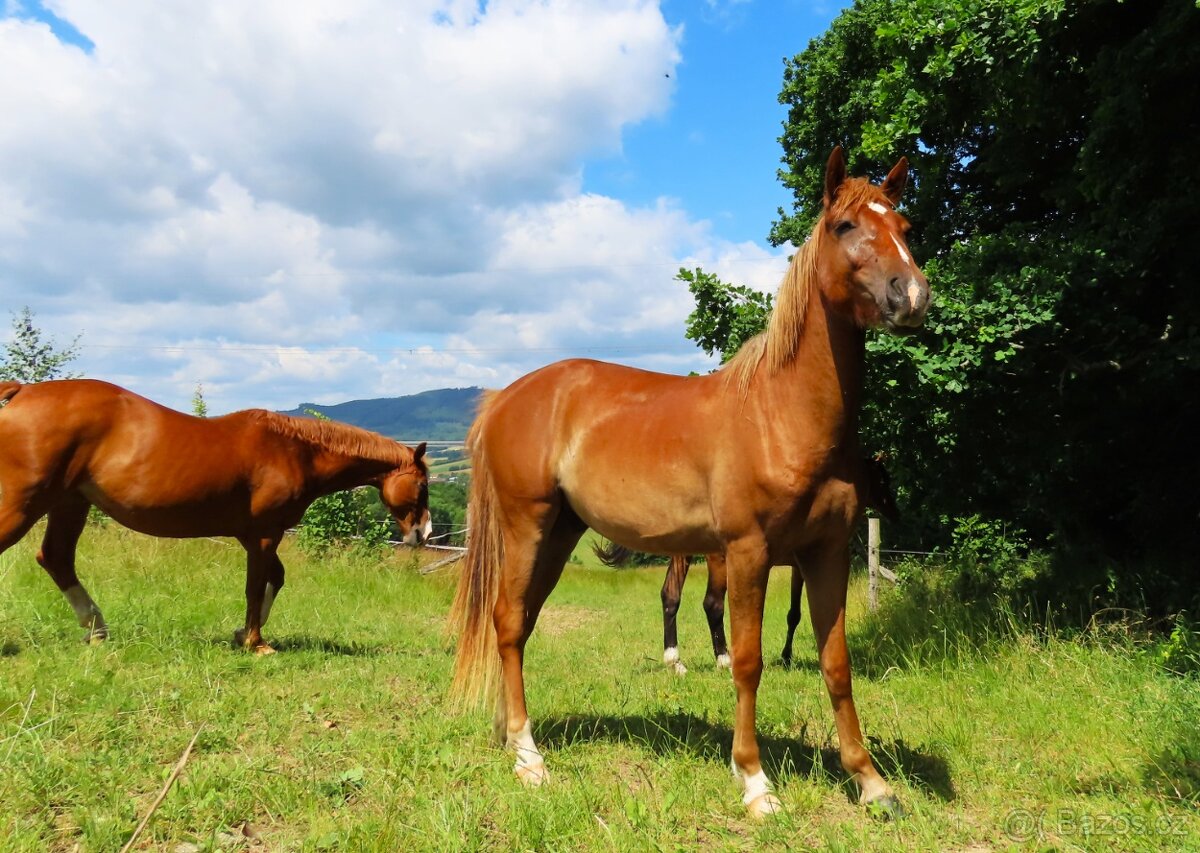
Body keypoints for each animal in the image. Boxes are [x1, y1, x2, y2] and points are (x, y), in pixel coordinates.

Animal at [0, 378, 431, 654]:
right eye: (423, 484)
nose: (423, 533)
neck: (293, 450)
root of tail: (23, 392)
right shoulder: (264, 534)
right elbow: (256, 586)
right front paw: (256, 643)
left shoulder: (254, 535)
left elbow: (274, 579)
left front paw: (243, 633)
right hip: (26, 503)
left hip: (70, 502)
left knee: (56, 558)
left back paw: (97, 630)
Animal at [595, 454, 899, 675]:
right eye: (883, 479)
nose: (895, 512)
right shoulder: (800, 568)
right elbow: (794, 614)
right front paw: (786, 657)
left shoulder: (795, 568)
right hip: (717, 562)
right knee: (712, 604)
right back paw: (723, 659)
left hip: (683, 555)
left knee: (670, 596)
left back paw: (676, 661)